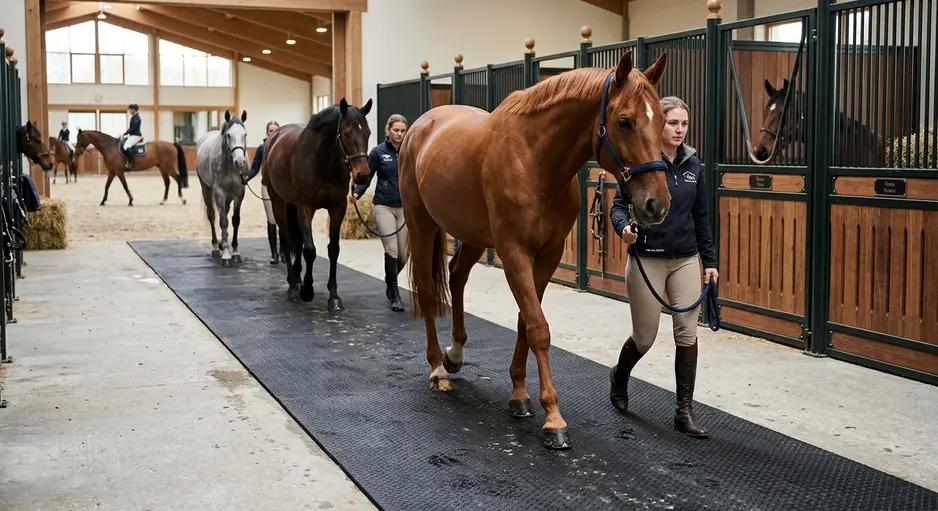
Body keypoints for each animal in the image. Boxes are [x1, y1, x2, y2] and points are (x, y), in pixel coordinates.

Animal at [195, 110, 250, 267]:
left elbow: (235, 220)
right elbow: (223, 221)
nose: (240, 161)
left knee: (224, 213)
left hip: (228, 197)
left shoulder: (239, 193)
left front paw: (235, 252)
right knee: (212, 216)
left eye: (245, 134)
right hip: (206, 189)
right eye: (228, 135)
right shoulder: (219, 192)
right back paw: (215, 247)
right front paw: (226, 254)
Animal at [262, 98, 373, 310]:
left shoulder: (337, 208)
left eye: (368, 133)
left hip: (292, 205)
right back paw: (293, 287)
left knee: (297, 240)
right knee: (287, 240)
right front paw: (307, 290)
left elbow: (333, 249)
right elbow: (310, 250)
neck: (323, 161)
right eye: (346, 132)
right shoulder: (305, 207)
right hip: (278, 201)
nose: (363, 175)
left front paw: (334, 297)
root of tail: (275, 137)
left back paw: (297, 277)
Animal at [398, 49, 672, 450]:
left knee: (457, 275)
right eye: (624, 121)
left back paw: (455, 354)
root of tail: (419, 127)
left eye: (664, 122)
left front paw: (519, 394)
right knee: (429, 291)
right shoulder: (514, 252)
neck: (535, 161)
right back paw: (437, 367)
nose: (657, 204)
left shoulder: (548, 254)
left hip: (473, 235)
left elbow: (525, 321)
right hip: (422, 225)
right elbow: (538, 326)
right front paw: (553, 419)